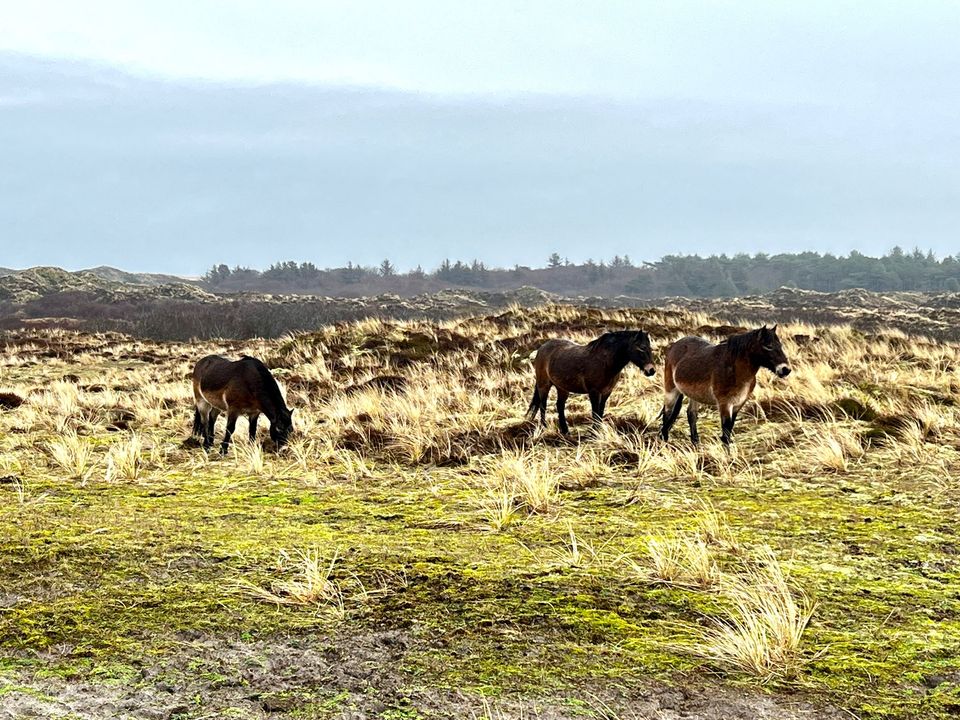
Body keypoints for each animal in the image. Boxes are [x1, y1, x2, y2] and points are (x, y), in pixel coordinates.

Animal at [524, 330, 660, 434]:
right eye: (641, 348)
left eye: (650, 348)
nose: (651, 370)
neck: (605, 362)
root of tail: (541, 348)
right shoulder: (594, 392)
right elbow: (595, 412)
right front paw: (594, 431)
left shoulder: (606, 393)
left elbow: (600, 412)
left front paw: (598, 431)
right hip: (544, 385)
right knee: (543, 405)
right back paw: (544, 427)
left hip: (562, 388)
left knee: (560, 406)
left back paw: (565, 430)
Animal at [660, 324, 796, 444]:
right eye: (768, 346)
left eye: (780, 345)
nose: (785, 369)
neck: (735, 370)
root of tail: (674, 346)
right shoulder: (725, 404)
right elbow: (725, 434)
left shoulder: (738, 404)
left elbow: (729, 430)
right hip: (671, 390)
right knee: (667, 414)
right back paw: (665, 442)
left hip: (694, 394)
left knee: (691, 415)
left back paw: (695, 444)